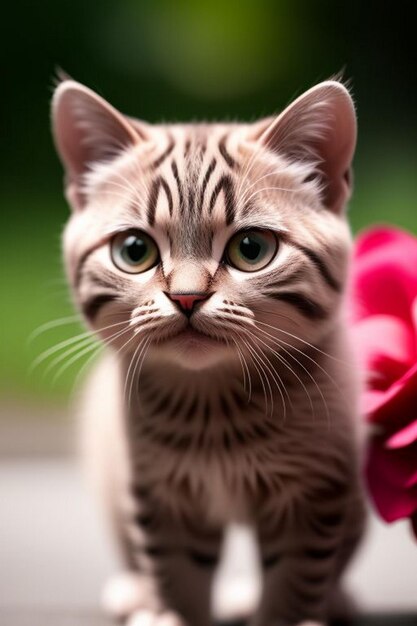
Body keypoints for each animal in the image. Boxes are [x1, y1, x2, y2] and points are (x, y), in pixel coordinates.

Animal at [51, 78, 364, 624]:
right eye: (134, 251)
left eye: (251, 249)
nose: (187, 297)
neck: (214, 413)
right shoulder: (158, 495)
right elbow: (175, 574)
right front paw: (169, 612)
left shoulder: (314, 493)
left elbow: (294, 577)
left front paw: (287, 614)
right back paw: (136, 594)